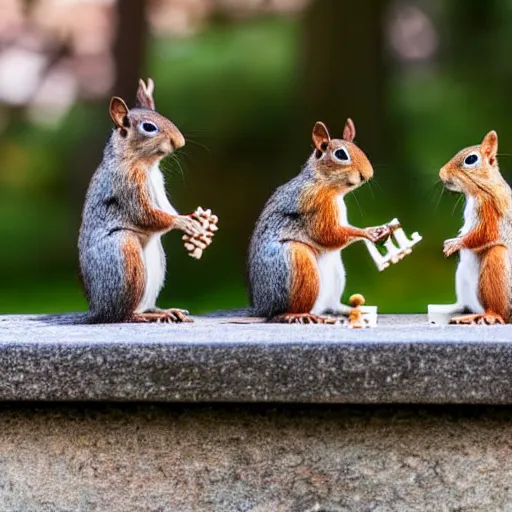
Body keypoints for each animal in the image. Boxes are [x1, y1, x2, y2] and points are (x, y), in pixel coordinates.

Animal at [78, 77, 216, 322]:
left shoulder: (158, 185)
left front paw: (195, 219)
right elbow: (147, 214)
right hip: (125, 252)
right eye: (149, 127)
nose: (180, 141)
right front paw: (183, 222)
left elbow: (167, 208)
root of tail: (97, 310)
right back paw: (144, 316)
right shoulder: (128, 186)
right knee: (123, 315)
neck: (145, 164)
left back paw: (165, 311)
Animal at [247, 118, 388, 322]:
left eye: (358, 148)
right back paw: (299, 315)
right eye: (340, 154)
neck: (326, 184)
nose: (368, 174)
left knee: (333, 306)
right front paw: (367, 232)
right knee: (283, 312)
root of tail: (262, 308)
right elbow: (327, 234)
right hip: (297, 260)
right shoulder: (317, 207)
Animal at [440, 131, 512, 324]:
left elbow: (483, 234)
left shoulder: (490, 209)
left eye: (471, 159)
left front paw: (455, 243)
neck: (478, 190)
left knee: (500, 313)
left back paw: (489, 315)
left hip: (498, 263)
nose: (441, 173)